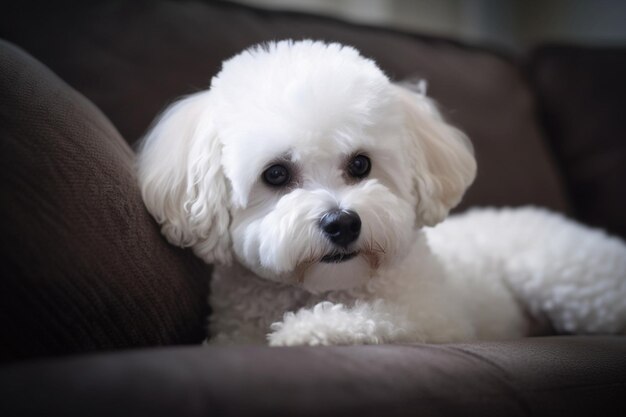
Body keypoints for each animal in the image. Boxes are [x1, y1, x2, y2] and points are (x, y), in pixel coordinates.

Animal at [136, 39, 624, 344]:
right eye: (275, 174)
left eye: (360, 164)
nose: (342, 223)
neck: (320, 290)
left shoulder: (435, 318)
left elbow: (380, 317)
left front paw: (304, 332)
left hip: (564, 279)